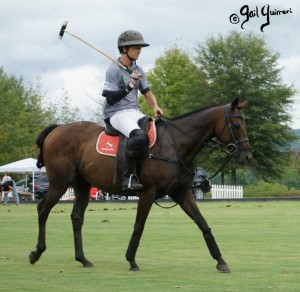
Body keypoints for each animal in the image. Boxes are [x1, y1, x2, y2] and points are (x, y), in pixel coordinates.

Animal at [29, 98, 252, 272]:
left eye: (245, 124)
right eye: (236, 125)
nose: (247, 156)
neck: (175, 145)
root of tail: (57, 129)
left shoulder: (182, 194)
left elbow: (203, 223)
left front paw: (221, 261)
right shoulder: (148, 193)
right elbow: (139, 225)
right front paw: (131, 260)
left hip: (82, 184)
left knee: (76, 217)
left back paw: (82, 259)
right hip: (59, 183)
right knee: (42, 209)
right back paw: (37, 252)